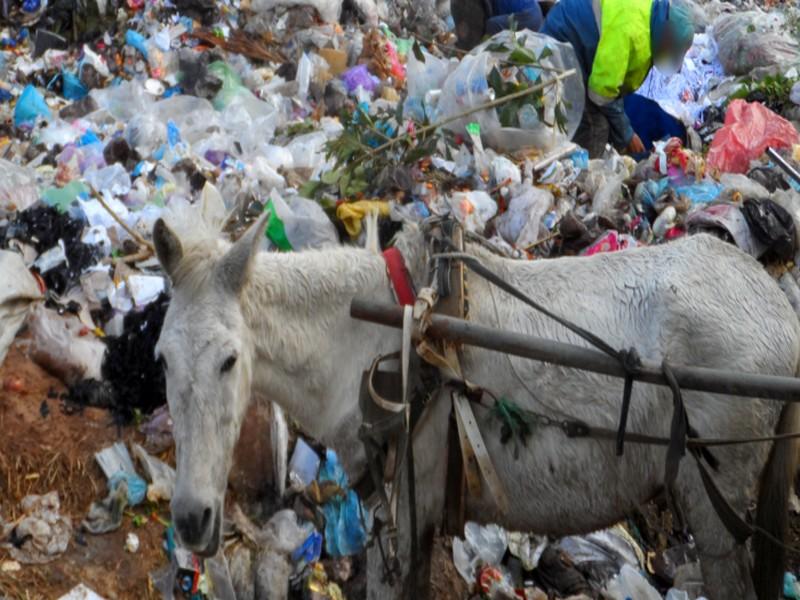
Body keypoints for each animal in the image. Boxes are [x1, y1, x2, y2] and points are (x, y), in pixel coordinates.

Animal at [153, 214, 796, 600]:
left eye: (230, 361)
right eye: (160, 360)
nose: (191, 521)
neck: (368, 338)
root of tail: (779, 310)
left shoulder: (401, 514)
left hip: (714, 509)